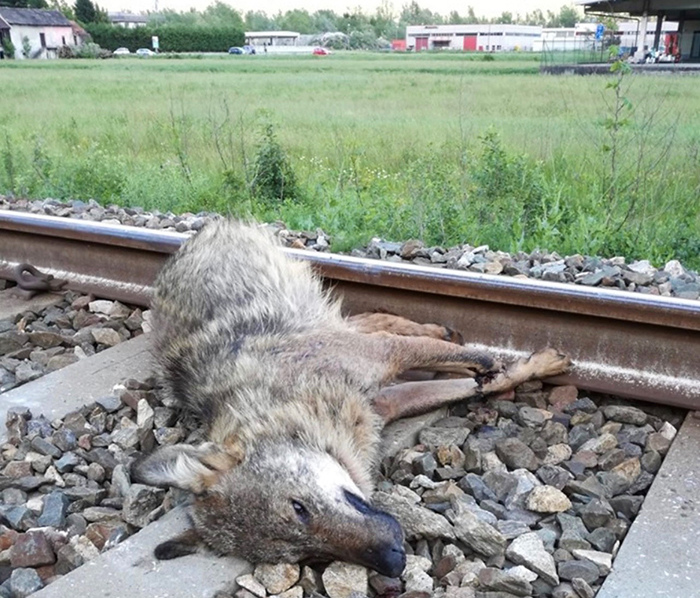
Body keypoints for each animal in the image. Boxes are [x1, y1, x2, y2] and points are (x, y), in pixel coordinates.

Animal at [134, 220, 570, 578]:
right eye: (310, 556)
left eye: (299, 508)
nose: (394, 561)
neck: (291, 397)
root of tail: (198, 234)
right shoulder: (386, 401)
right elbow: (479, 382)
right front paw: (520, 368)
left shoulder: (382, 355)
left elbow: (470, 363)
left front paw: (510, 363)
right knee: (371, 321)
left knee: (384, 323)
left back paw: (444, 333)